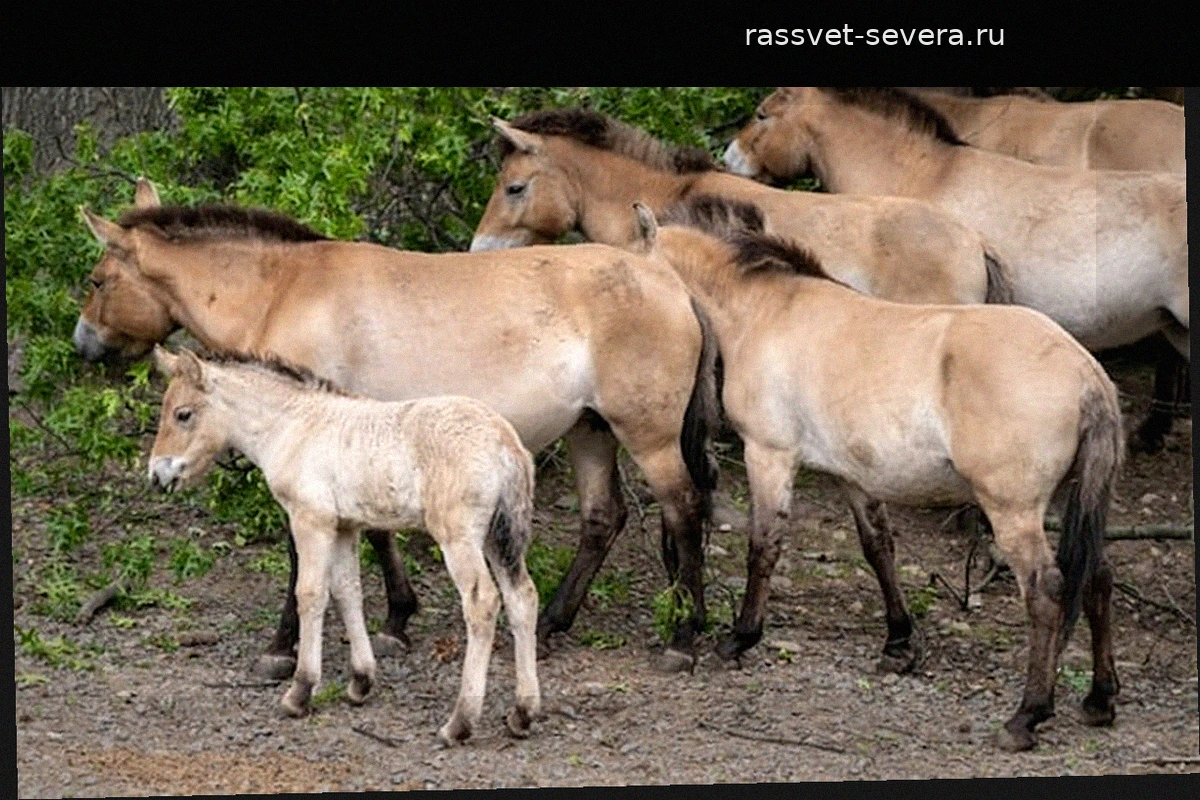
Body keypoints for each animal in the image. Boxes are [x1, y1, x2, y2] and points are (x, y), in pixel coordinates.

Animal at [75, 181, 718, 675]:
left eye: (99, 279)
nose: (83, 345)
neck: (282, 293)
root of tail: (666, 279)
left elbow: (301, 552)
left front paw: (282, 648)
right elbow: (376, 531)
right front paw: (396, 620)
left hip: (649, 439)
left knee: (685, 510)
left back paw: (684, 638)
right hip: (591, 430)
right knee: (602, 519)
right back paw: (554, 622)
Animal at [148, 347, 540, 744]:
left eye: (183, 414)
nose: (156, 475)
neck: (293, 427)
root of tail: (506, 444)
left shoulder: (311, 520)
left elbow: (310, 595)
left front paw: (300, 691)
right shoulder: (345, 527)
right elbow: (348, 591)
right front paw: (361, 681)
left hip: (458, 536)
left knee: (482, 602)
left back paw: (460, 722)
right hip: (498, 537)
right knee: (522, 597)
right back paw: (522, 714)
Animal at [641, 195, 1124, 753]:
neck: (766, 311)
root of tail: (1087, 374)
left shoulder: (769, 454)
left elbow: (764, 546)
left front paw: (739, 638)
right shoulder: (853, 477)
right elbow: (878, 549)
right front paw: (899, 642)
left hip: (1014, 511)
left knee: (1046, 593)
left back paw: (1027, 716)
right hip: (1072, 499)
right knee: (1099, 576)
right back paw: (1099, 700)